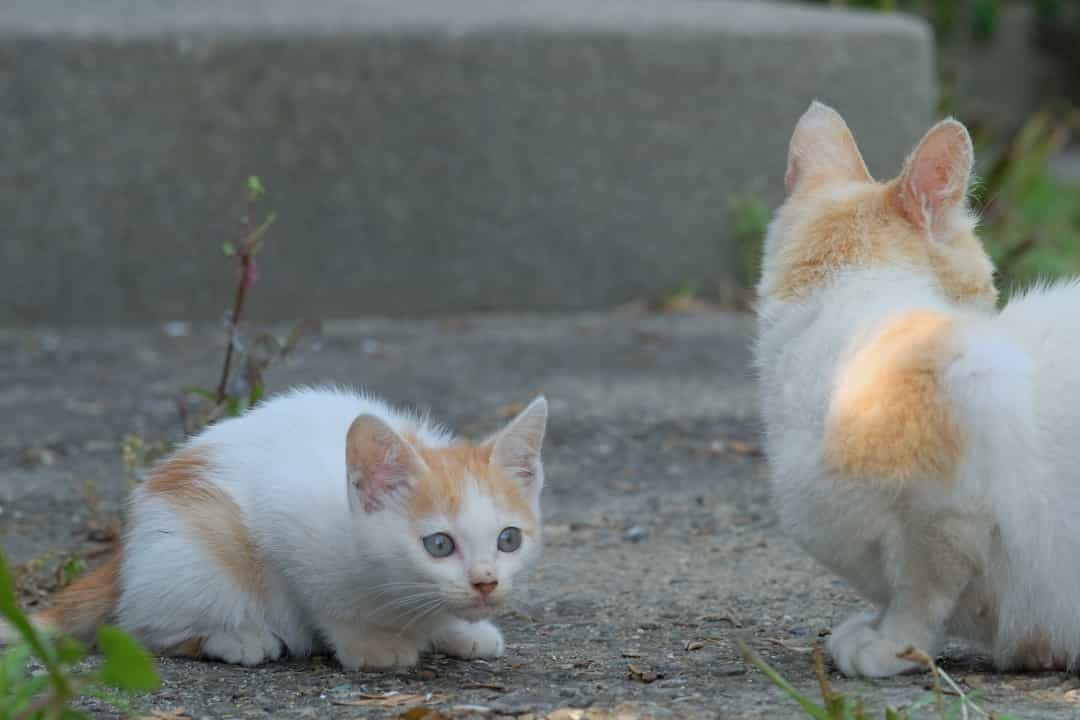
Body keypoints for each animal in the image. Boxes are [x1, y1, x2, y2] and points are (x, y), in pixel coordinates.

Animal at [4, 388, 548, 669]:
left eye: (508, 539)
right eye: (438, 544)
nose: (485, 582)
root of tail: (124, 552)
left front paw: (457, 631)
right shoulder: (287, 519)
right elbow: (323, 599)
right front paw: (370, 645)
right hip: (196, 550)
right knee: (142, 627)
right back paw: (237, 639)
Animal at [756, 99, 1080, 677]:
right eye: (988, 278)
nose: (993, 304)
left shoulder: (949, 514)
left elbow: (921, 593)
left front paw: (894, 646)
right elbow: (898, 591)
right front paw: (871, 630)